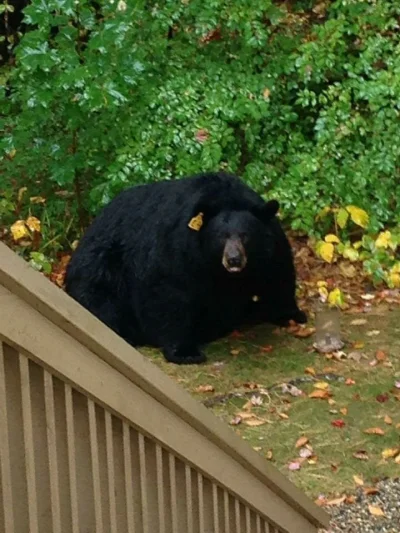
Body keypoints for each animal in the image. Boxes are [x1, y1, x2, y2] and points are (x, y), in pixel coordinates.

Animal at [65, 172, 306, 364]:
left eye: (245, 235)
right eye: (221, 237)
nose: (234, 260)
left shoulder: (268, 248)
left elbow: (278, 274)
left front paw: (292, 314)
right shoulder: (178, 249)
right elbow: (169, 293)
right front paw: (185, 352)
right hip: (102, 266)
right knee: (99, 299)